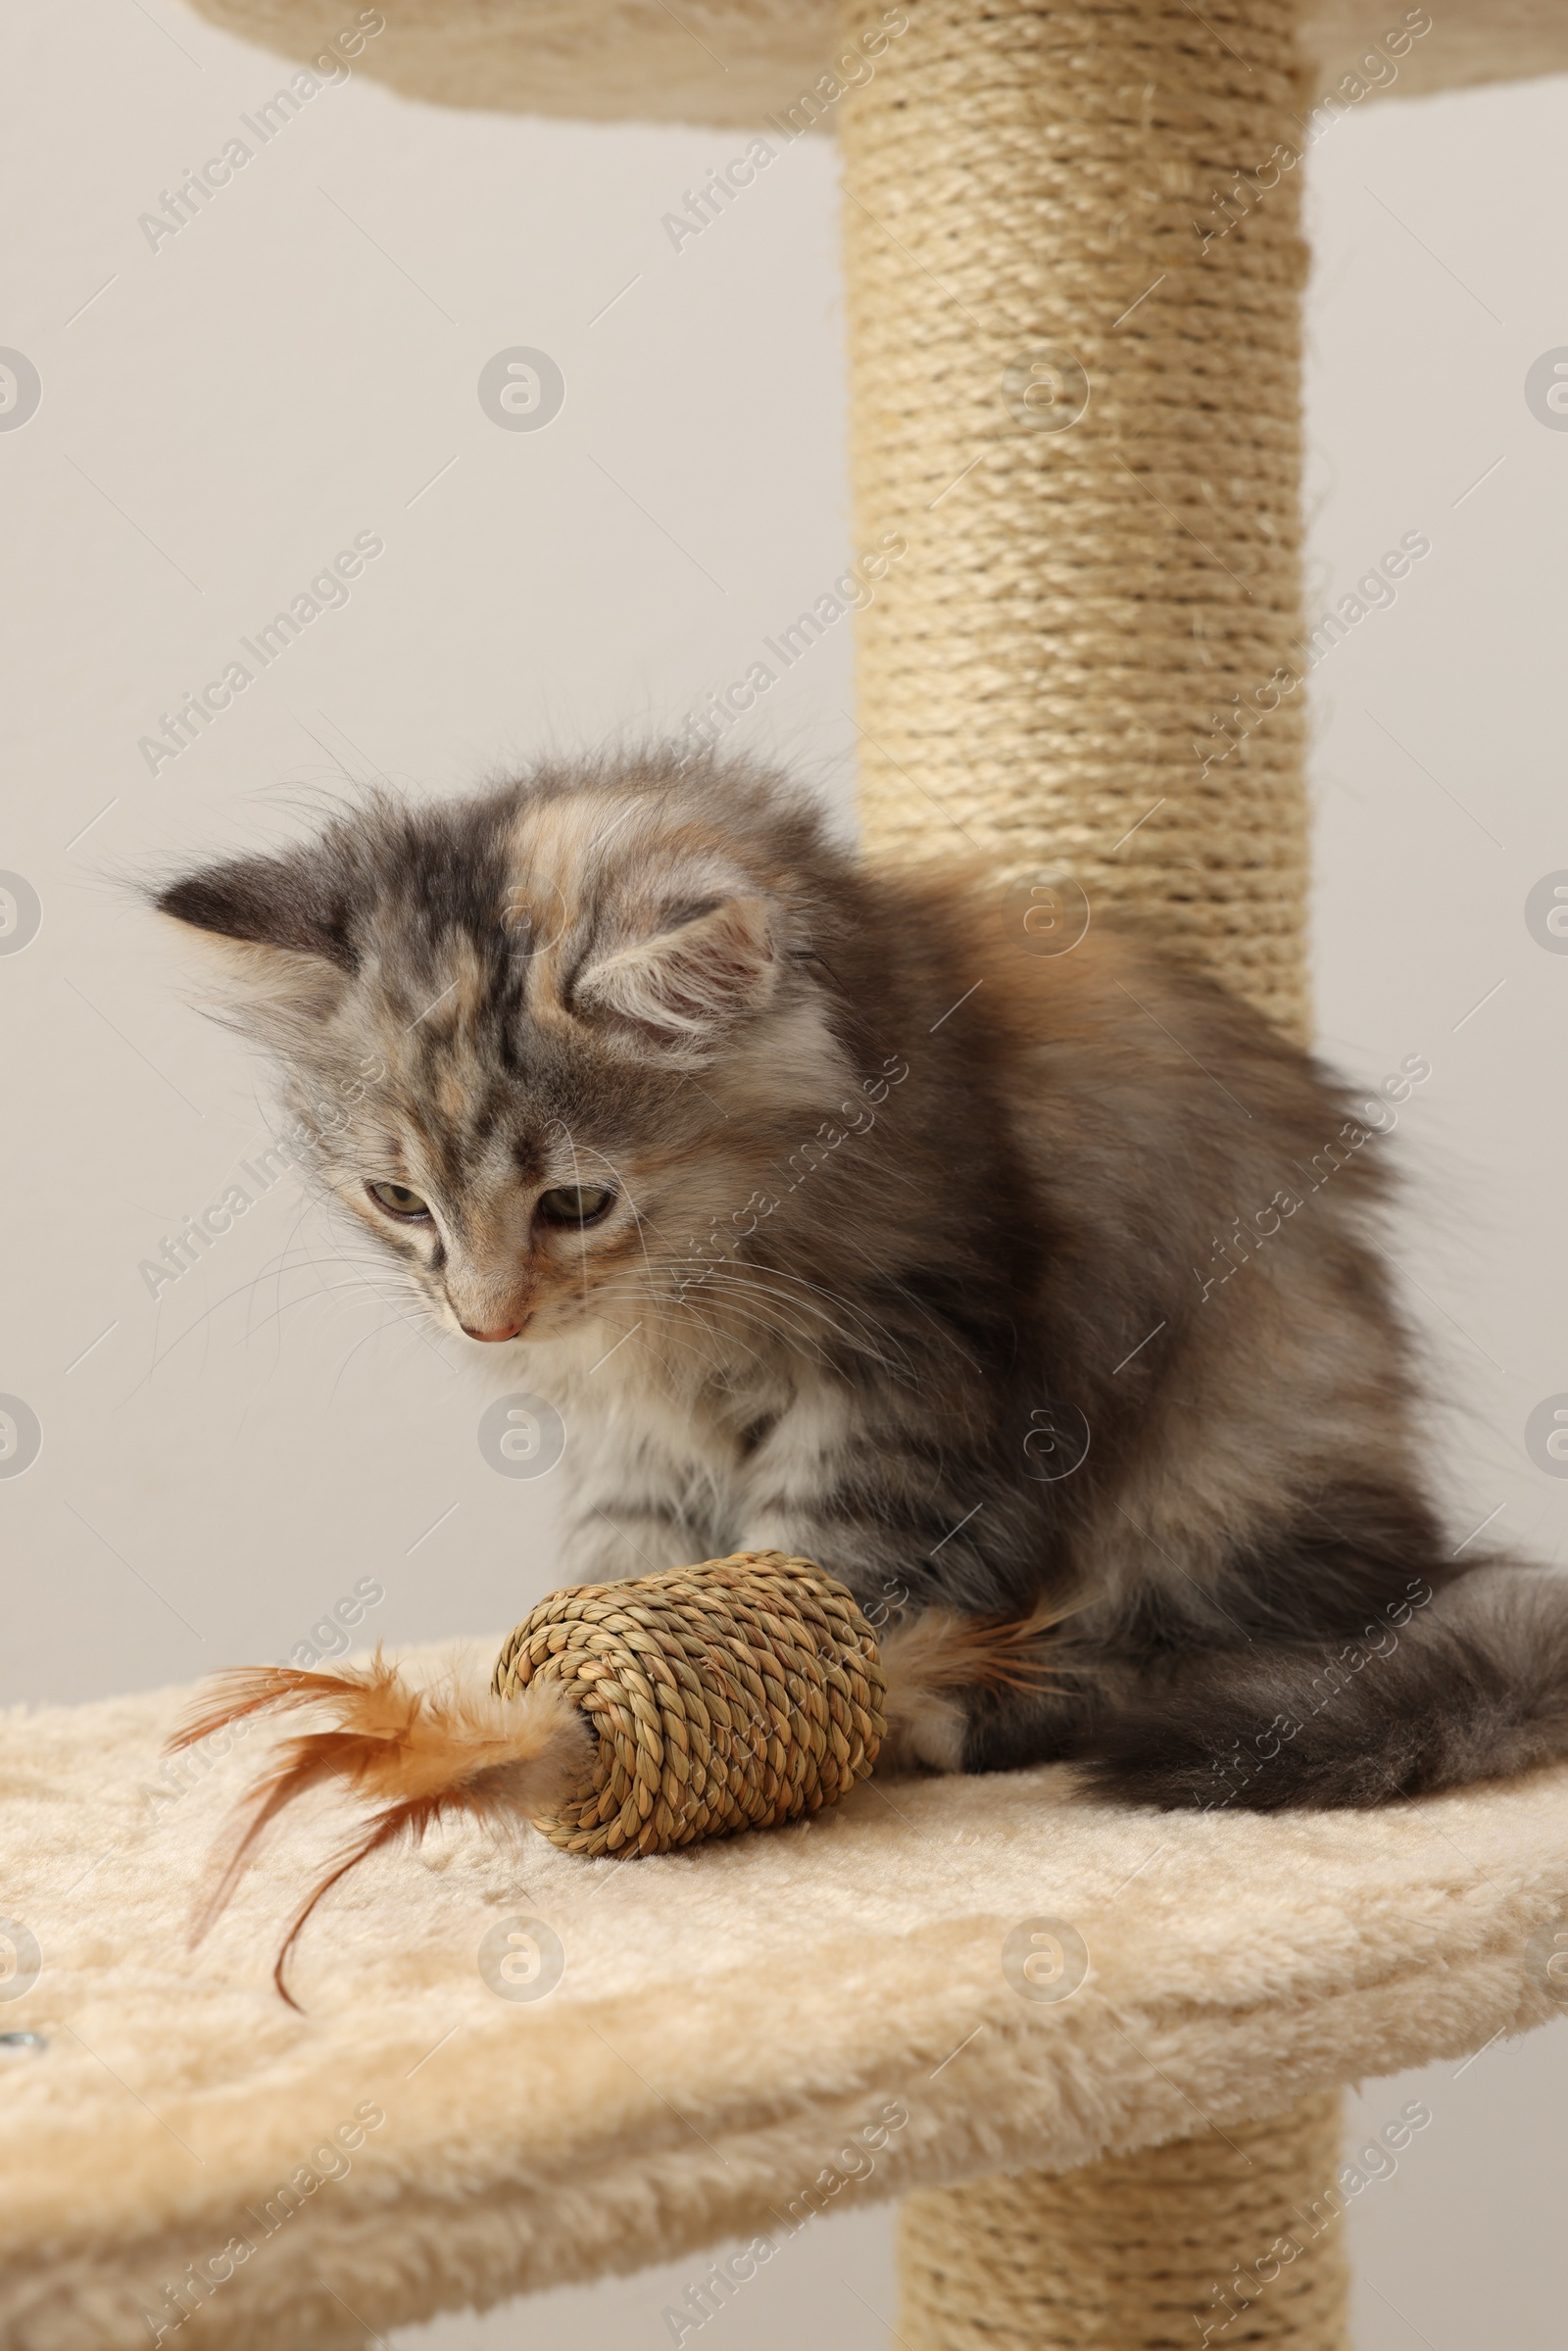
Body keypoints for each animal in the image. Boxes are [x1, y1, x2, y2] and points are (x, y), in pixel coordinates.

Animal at [156, 752, 1568, 1815]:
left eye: (574, 1203)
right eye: (401, 1201)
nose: (487, 1319)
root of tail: (1413, 1551)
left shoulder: (912, 1371)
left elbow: (822, 1563)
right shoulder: (634, 1433)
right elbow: (631, 1550)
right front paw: (560, 1703)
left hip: (1226, 1476)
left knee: (1193, 1659)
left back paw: (957, 1709)